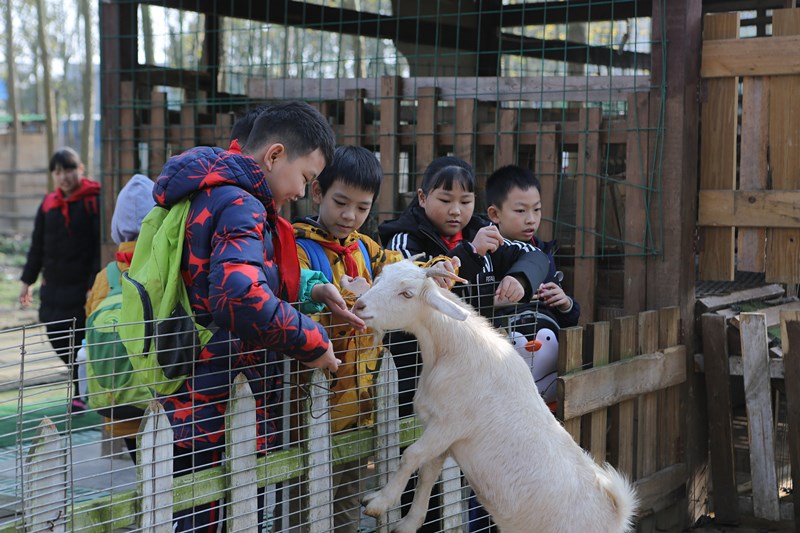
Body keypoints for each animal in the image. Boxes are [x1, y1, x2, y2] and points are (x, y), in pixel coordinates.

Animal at [354, 260, 636, 532]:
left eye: (407, 294)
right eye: (379, 277)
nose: (359, 305)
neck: (452, 352)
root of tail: (614, 516)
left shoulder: (449, 425)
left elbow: (410, 456)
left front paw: (379, 503)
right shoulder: (441, 433)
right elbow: (427, 472)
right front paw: (408, 523)